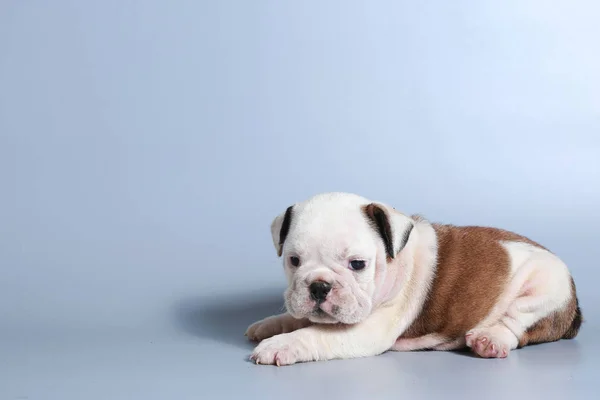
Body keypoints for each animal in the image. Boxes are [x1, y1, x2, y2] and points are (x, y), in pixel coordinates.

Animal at [244, 193, 580, 366]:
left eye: (357, 264)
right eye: (294, 261)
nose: (318, 286)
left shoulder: (368, 331)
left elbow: (313, 334)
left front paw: (280, 345)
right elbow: (296, 318)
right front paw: (269, 325)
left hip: (545, 288)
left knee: (516, 323)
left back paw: (490, 340)